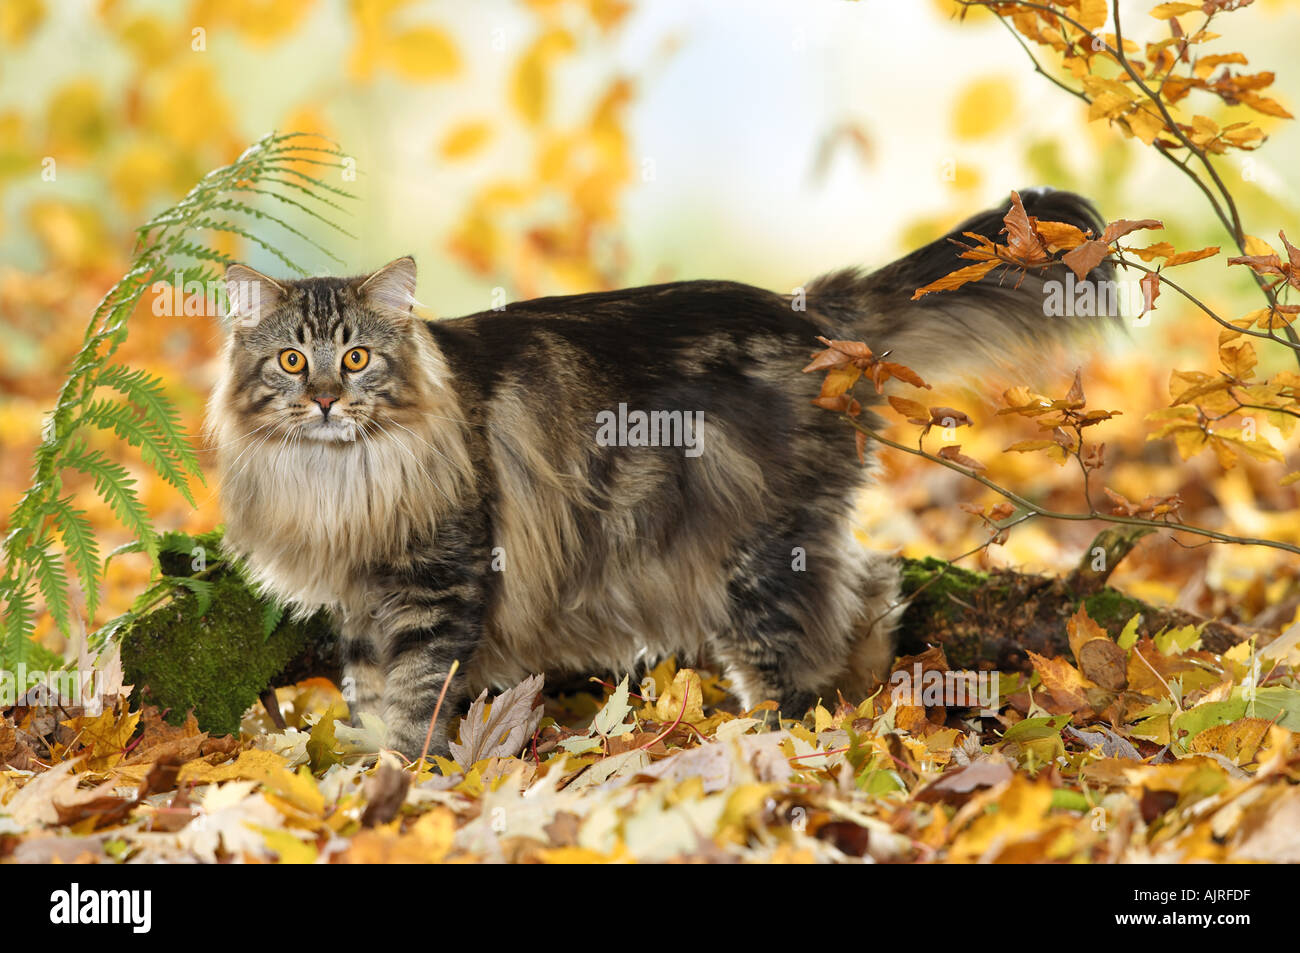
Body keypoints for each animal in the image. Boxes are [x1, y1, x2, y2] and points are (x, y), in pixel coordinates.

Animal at [208, 187, 1112, 759]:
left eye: (357, 358)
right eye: (292, 361)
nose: (326, 398)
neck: (340, 481)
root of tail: (814, 315)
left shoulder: (440, 580)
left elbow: (416, 697)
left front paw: (398, 781)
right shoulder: (361, 601)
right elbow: (368, 690)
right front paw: (361, 773)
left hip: (755, 554)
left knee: (809, 644)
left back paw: (794, 744)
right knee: (874, 591)